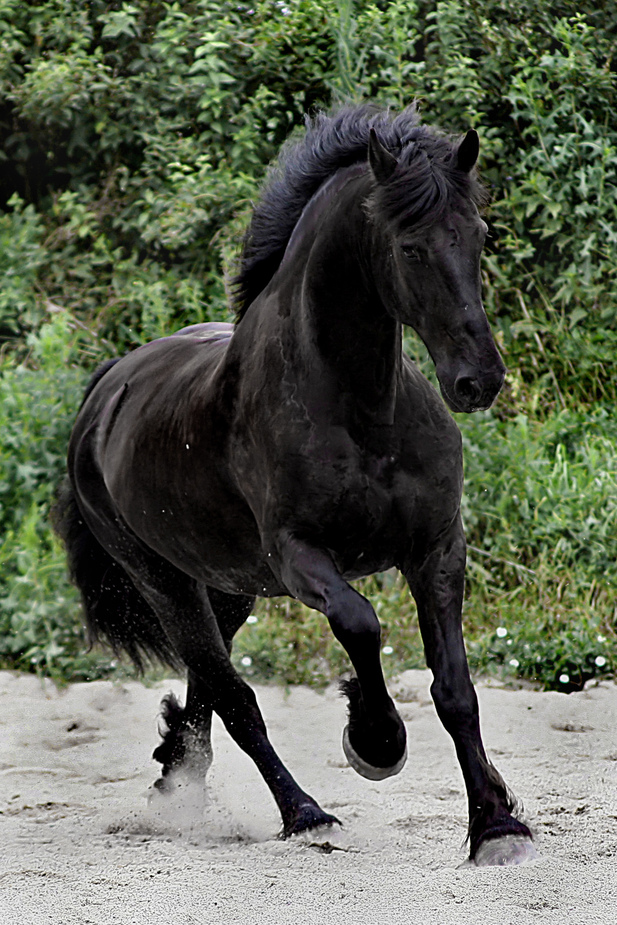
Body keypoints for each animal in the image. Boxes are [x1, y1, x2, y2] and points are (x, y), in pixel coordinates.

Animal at [54, 108, 536, 868]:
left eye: (479, 235)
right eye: (410, 246)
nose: (477, 380)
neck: (364, 412)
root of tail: (107, 389)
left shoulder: (436, 549)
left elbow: (456, 690)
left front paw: (495, 823)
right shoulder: (301, 557)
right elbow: (360, 623)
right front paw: (375, 739)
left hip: (227, 588)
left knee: (207, 680)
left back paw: (176, 770)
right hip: (164, 579)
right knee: (234, 696)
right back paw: (304, 812)